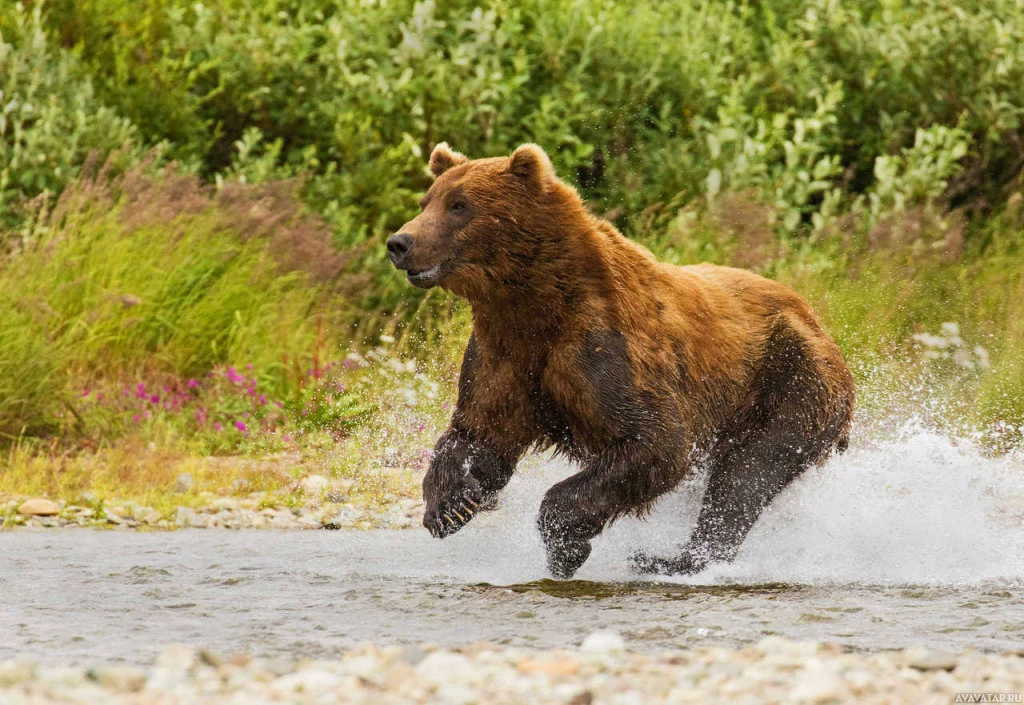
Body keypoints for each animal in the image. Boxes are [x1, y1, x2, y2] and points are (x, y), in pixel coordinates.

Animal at [387, 143, 851, 577]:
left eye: (460, 205)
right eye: (427, 201)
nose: (399, 243)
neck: (536, 303)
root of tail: (815, 317)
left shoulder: (607, 349)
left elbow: (654, 440)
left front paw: (565, 546)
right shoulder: (504, 353)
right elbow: (480, 430)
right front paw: (450, 505)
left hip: (792, 376)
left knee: (749, 471)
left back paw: (672, 560)